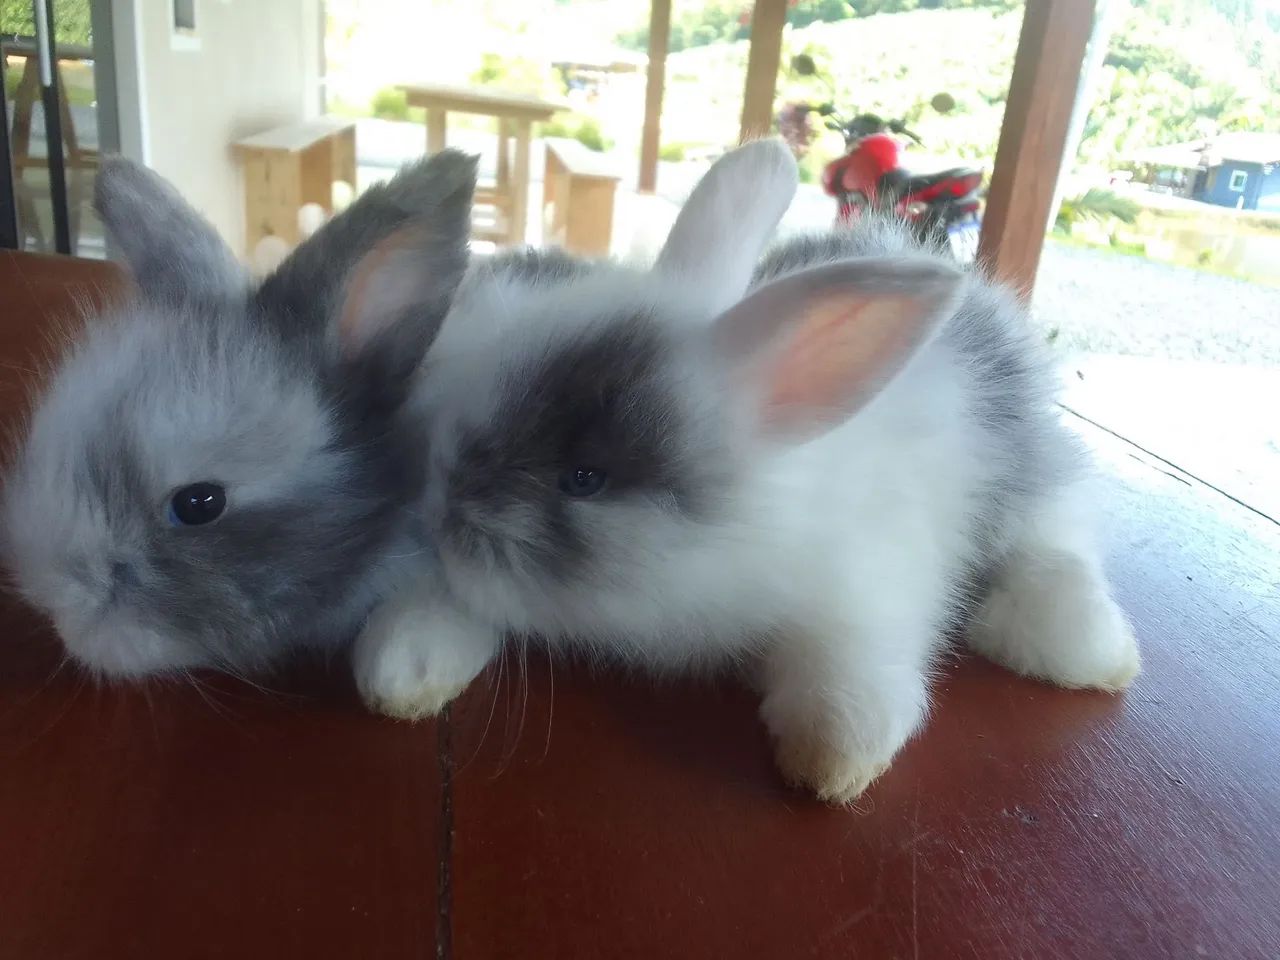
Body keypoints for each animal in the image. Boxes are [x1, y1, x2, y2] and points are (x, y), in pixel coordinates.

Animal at [351, 138, 1141, 804]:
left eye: (584, 478)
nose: (439, 510)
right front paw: (402, 670)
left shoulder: (866, 592)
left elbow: (851, 677)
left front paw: (833, 764)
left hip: (1029, 476)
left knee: (1059, 544)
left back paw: (1088, 654)